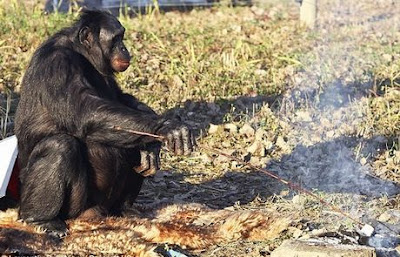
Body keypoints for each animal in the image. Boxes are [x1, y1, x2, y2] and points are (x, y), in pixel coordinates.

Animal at [14, 10, 196, 236]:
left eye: (122, 36)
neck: (82, 55)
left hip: (106, 203)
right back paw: (42, 219)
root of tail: (95, 213)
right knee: (59, 145)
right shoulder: (58, 65)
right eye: (116, 38)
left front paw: (153, 144)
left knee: (130, 141)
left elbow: (120, 98)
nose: (124, 48)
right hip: (74, 208)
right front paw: (166, 128)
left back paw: (125, 209)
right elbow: (85, 110)